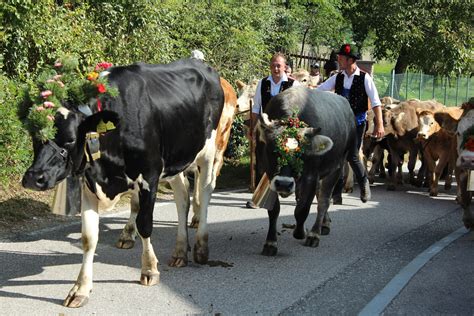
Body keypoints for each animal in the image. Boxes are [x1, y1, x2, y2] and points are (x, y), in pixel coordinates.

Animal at [254, 85, 358, 256]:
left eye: (301, 154)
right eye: (273, 151)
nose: (284, 184)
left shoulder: (312, 175)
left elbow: (302, 209)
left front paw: (300, 232)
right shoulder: (270, 174)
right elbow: (274, 210)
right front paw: (270, 243)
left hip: (337, 167)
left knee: (323, 201)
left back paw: (315, 233)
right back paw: (325, 224)